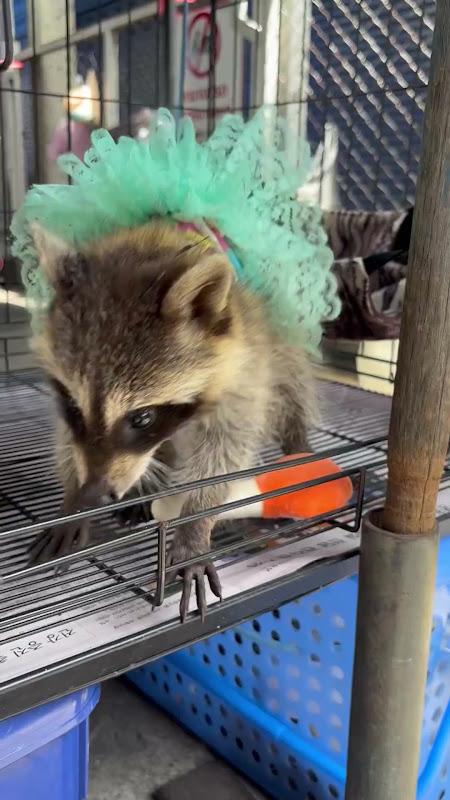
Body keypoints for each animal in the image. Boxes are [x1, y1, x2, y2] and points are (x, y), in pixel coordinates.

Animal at [29, 221, 315, 620]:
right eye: (72, 405)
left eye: (142, 417)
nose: (95, 494)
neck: (149, 247)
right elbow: (69, 440)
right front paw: (73, 503)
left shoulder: (243, 365)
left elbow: (225, 453)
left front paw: (194, 526)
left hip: (275, 328)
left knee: (292, 376)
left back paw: (298, 440)